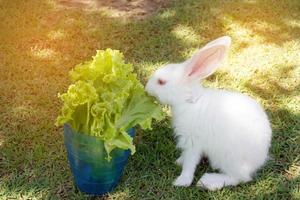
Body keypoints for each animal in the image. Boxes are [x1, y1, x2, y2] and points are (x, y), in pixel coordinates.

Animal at [145, 36, 272, 191]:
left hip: (227, 158)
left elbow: (190, 163)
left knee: (240, 178)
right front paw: (179, 161)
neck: (189, 101)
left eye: (161, 82)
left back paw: (208, 181)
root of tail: (259, 160)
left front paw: (182, 181)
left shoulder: (193, 141)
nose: (146, 89)